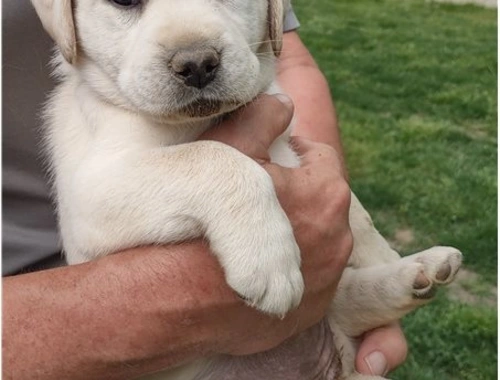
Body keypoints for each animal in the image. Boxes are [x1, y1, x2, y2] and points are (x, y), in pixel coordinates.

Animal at [30, 0, 460, 380]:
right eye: (123, 1)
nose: (197, 64)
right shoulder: (90, 192)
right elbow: (215, 157)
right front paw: (269, 258)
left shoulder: (294, 138)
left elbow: (354, 206)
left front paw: (381, 252)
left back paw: (418, 271)